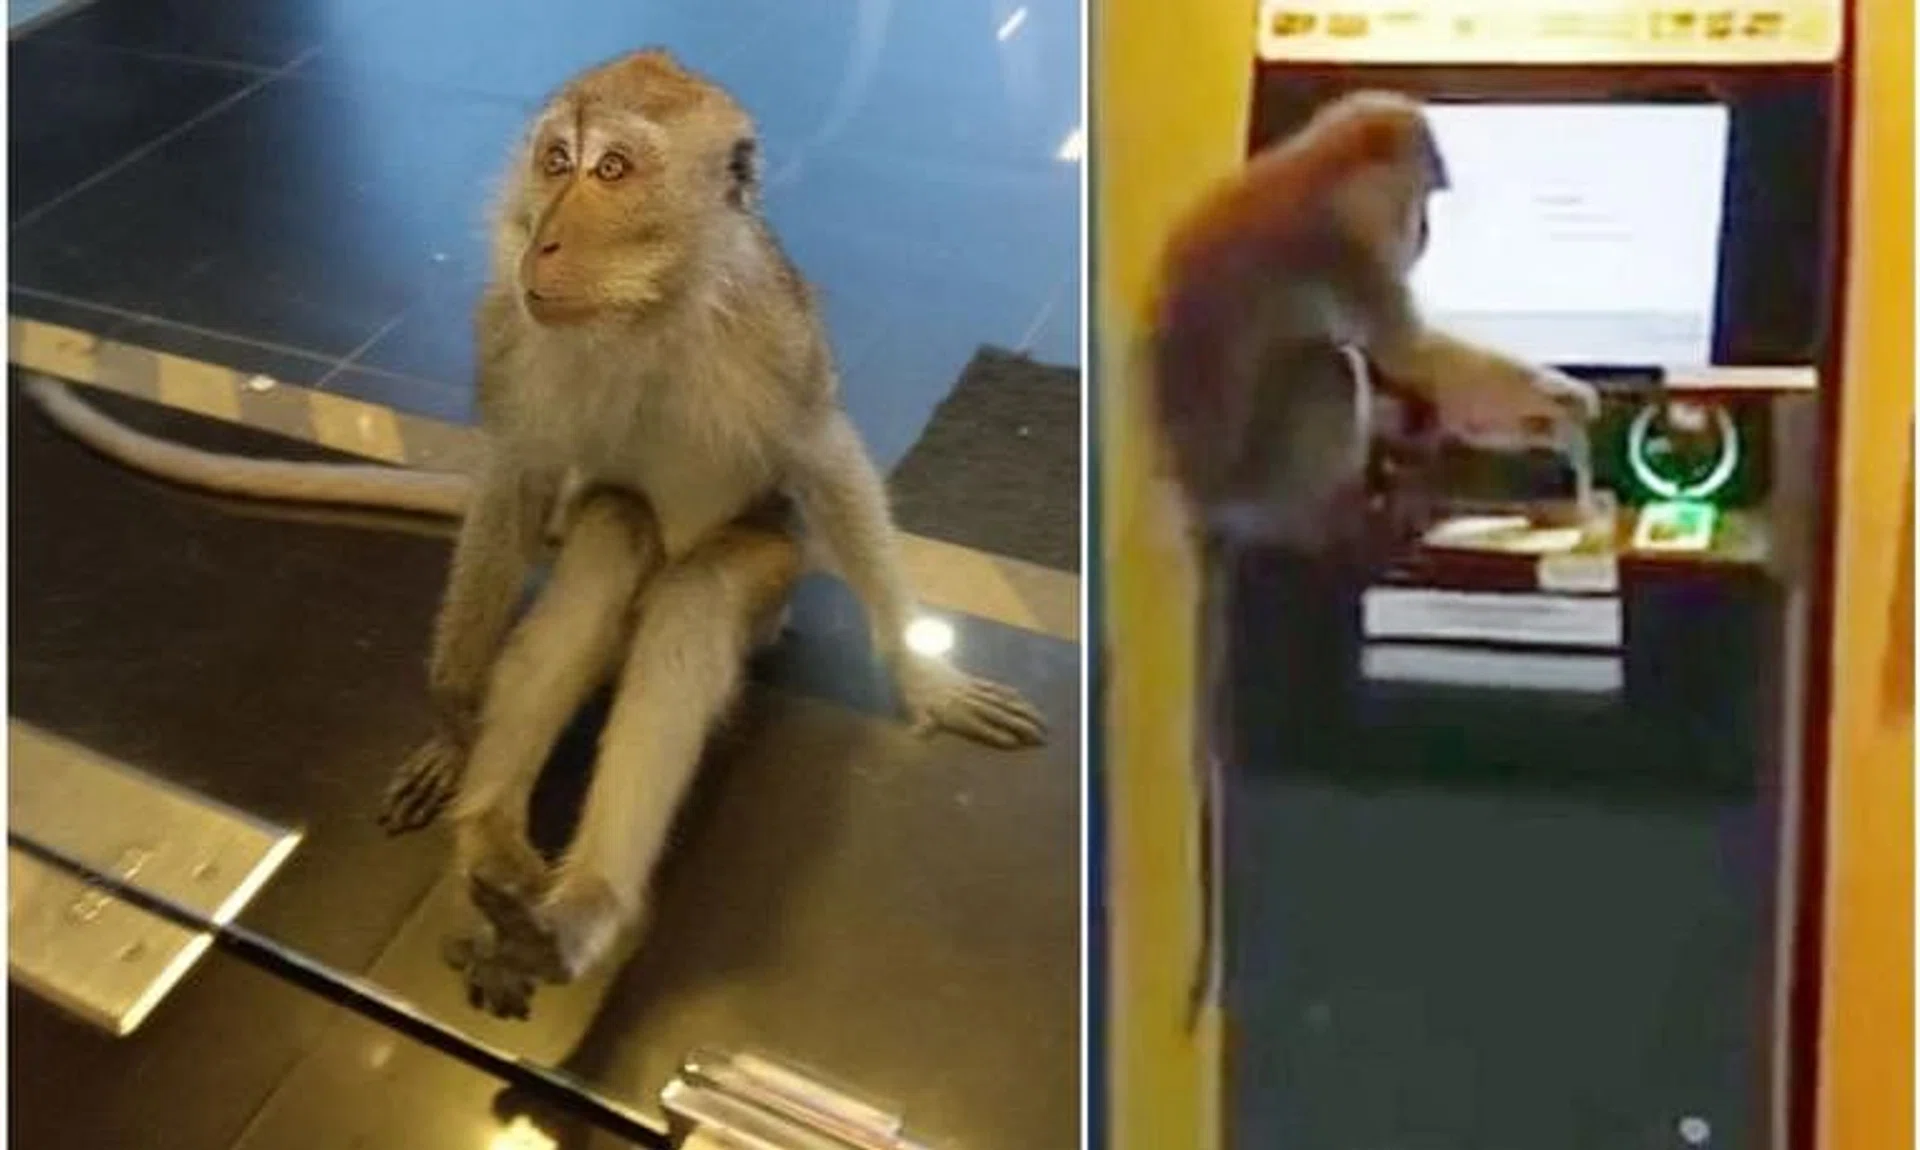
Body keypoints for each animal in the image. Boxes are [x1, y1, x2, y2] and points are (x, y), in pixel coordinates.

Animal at [22, 49, 1049, 1016]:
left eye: (613, 169)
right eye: (557, 160)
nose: (543, 240)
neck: (646, 310)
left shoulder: (778, 340)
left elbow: (826, 461)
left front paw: (926, 676)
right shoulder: (507, 330)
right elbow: (514, 477)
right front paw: (452, 717)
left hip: (770, 589)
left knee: (699, 592)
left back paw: (581, 909)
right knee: (610, 531)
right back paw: (495, 844)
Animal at [1141, 90, 1601, 1025]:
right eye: (1422, 198)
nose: (1422, 232)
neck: (1317, 170)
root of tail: (1210, 503)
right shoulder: (1342, 254)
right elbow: (1408, 354)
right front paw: (1565, 399)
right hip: (1272, 473)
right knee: (1329, 369)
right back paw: (1340, 518)